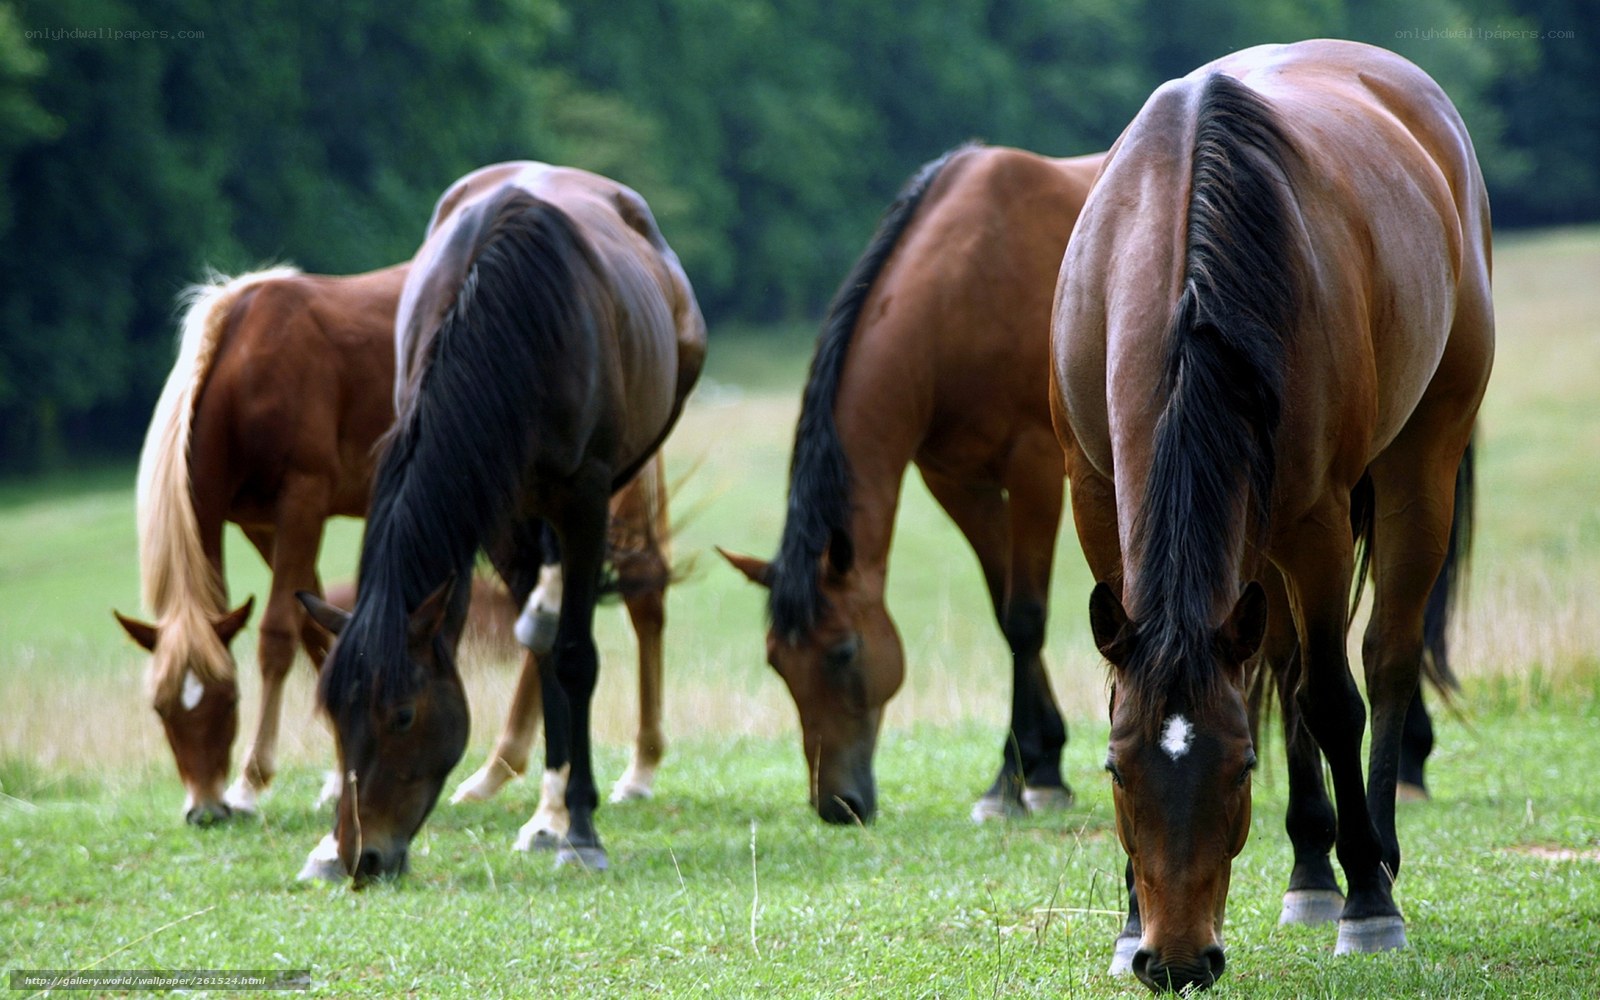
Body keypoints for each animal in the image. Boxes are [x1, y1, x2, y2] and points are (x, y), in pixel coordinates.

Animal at [116, 264, 674, 827]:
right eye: (160, 707)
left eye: (229, 699)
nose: (205, 808)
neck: (244, 368)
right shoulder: (262, 524)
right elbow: (319, 632)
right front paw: (339, 774)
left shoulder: (302, 500)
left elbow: (278, 636)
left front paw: (251, 783)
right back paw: (500, 771)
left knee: (640, 598)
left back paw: (635, 771)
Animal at [297, 161, 704, 882]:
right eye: (334, 717)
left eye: (403, 717)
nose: (361, 856)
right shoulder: (494, 507)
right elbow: (542, 655)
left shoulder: (584, 497)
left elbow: (574, 657)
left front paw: (581, 830)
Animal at [721, 145, 1104, 824]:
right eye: (776, 663)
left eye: (844, 652)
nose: (837, 805)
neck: (964, 290)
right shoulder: (959, 482)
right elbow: (1004, 613)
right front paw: (1040, 765)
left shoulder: (1033, 469)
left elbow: (1026, 618)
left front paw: (1015, 781)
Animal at [1049, 39, 1492, 991]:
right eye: (1116, 768)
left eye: (1240, 765)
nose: (1177, 962)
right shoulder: (1095, 497)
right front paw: (1127, 921)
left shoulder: (1318, 523)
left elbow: (1332, 699)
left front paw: (1370, 905)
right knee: (1283, 664)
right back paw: (1310, 870)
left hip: (1419, 462)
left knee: (1385, 656)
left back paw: (1372, 859)